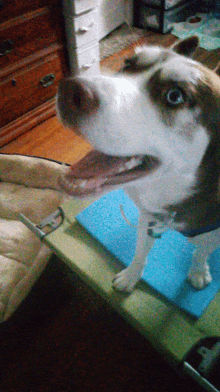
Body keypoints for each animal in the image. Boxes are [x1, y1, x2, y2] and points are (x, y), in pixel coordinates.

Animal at [55, 36, 219, 292]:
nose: (68, 89)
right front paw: (132, 274)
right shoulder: (149, 217)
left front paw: (199, 270)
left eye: (175, 96)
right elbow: (140, 250)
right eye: (127, 64)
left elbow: (202, 251)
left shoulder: (212, 233)